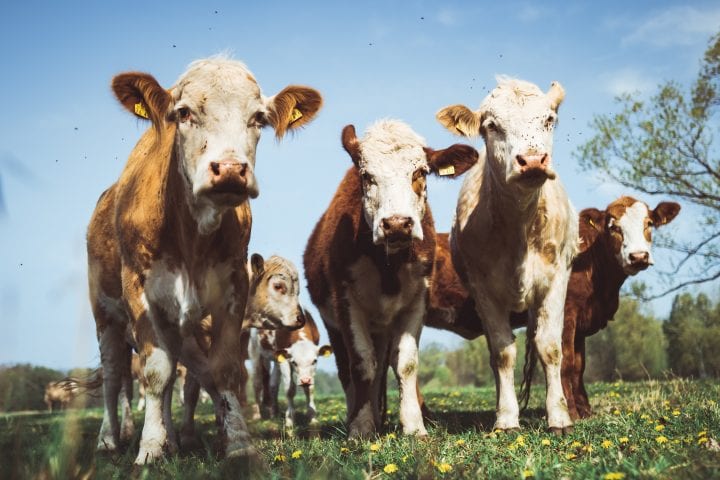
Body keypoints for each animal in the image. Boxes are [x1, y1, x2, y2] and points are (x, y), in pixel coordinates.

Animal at [86, 56, 322, 464]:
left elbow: (219, 373)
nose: (229, 169)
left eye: (258, 118)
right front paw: (151, 449)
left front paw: (236, 442)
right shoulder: (141, 293)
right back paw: (110, 438)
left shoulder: (229, 293)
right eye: (183, 112)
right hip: (106, 317)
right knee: (116, 379)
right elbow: (157, 373)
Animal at [304, 120, 478, 438]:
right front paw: (360, 426)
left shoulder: (417, 301)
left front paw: (413, 426)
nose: (396, 224)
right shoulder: (346, 303)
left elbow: (405, 363)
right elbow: (361, 363)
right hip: (333, 324)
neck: (388, 266)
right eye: (366, 175)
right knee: (349, 370)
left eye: (420, 172)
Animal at [436, 76, 576, 434]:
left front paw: (559, 416)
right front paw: (507, 418)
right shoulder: (483, 290)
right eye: (492, 126)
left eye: (549, 120)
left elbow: (550, 347)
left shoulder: (556, 280)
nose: (533, 161)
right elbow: (502, 353)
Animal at [562, 197, 680, 419]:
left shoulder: (580, 321)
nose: (639, 256)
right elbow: (565, 362)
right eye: (614, 227)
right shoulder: (565, 312)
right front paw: (570, 414)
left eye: (649, 223)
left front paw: (585, 412)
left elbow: (578, 367)